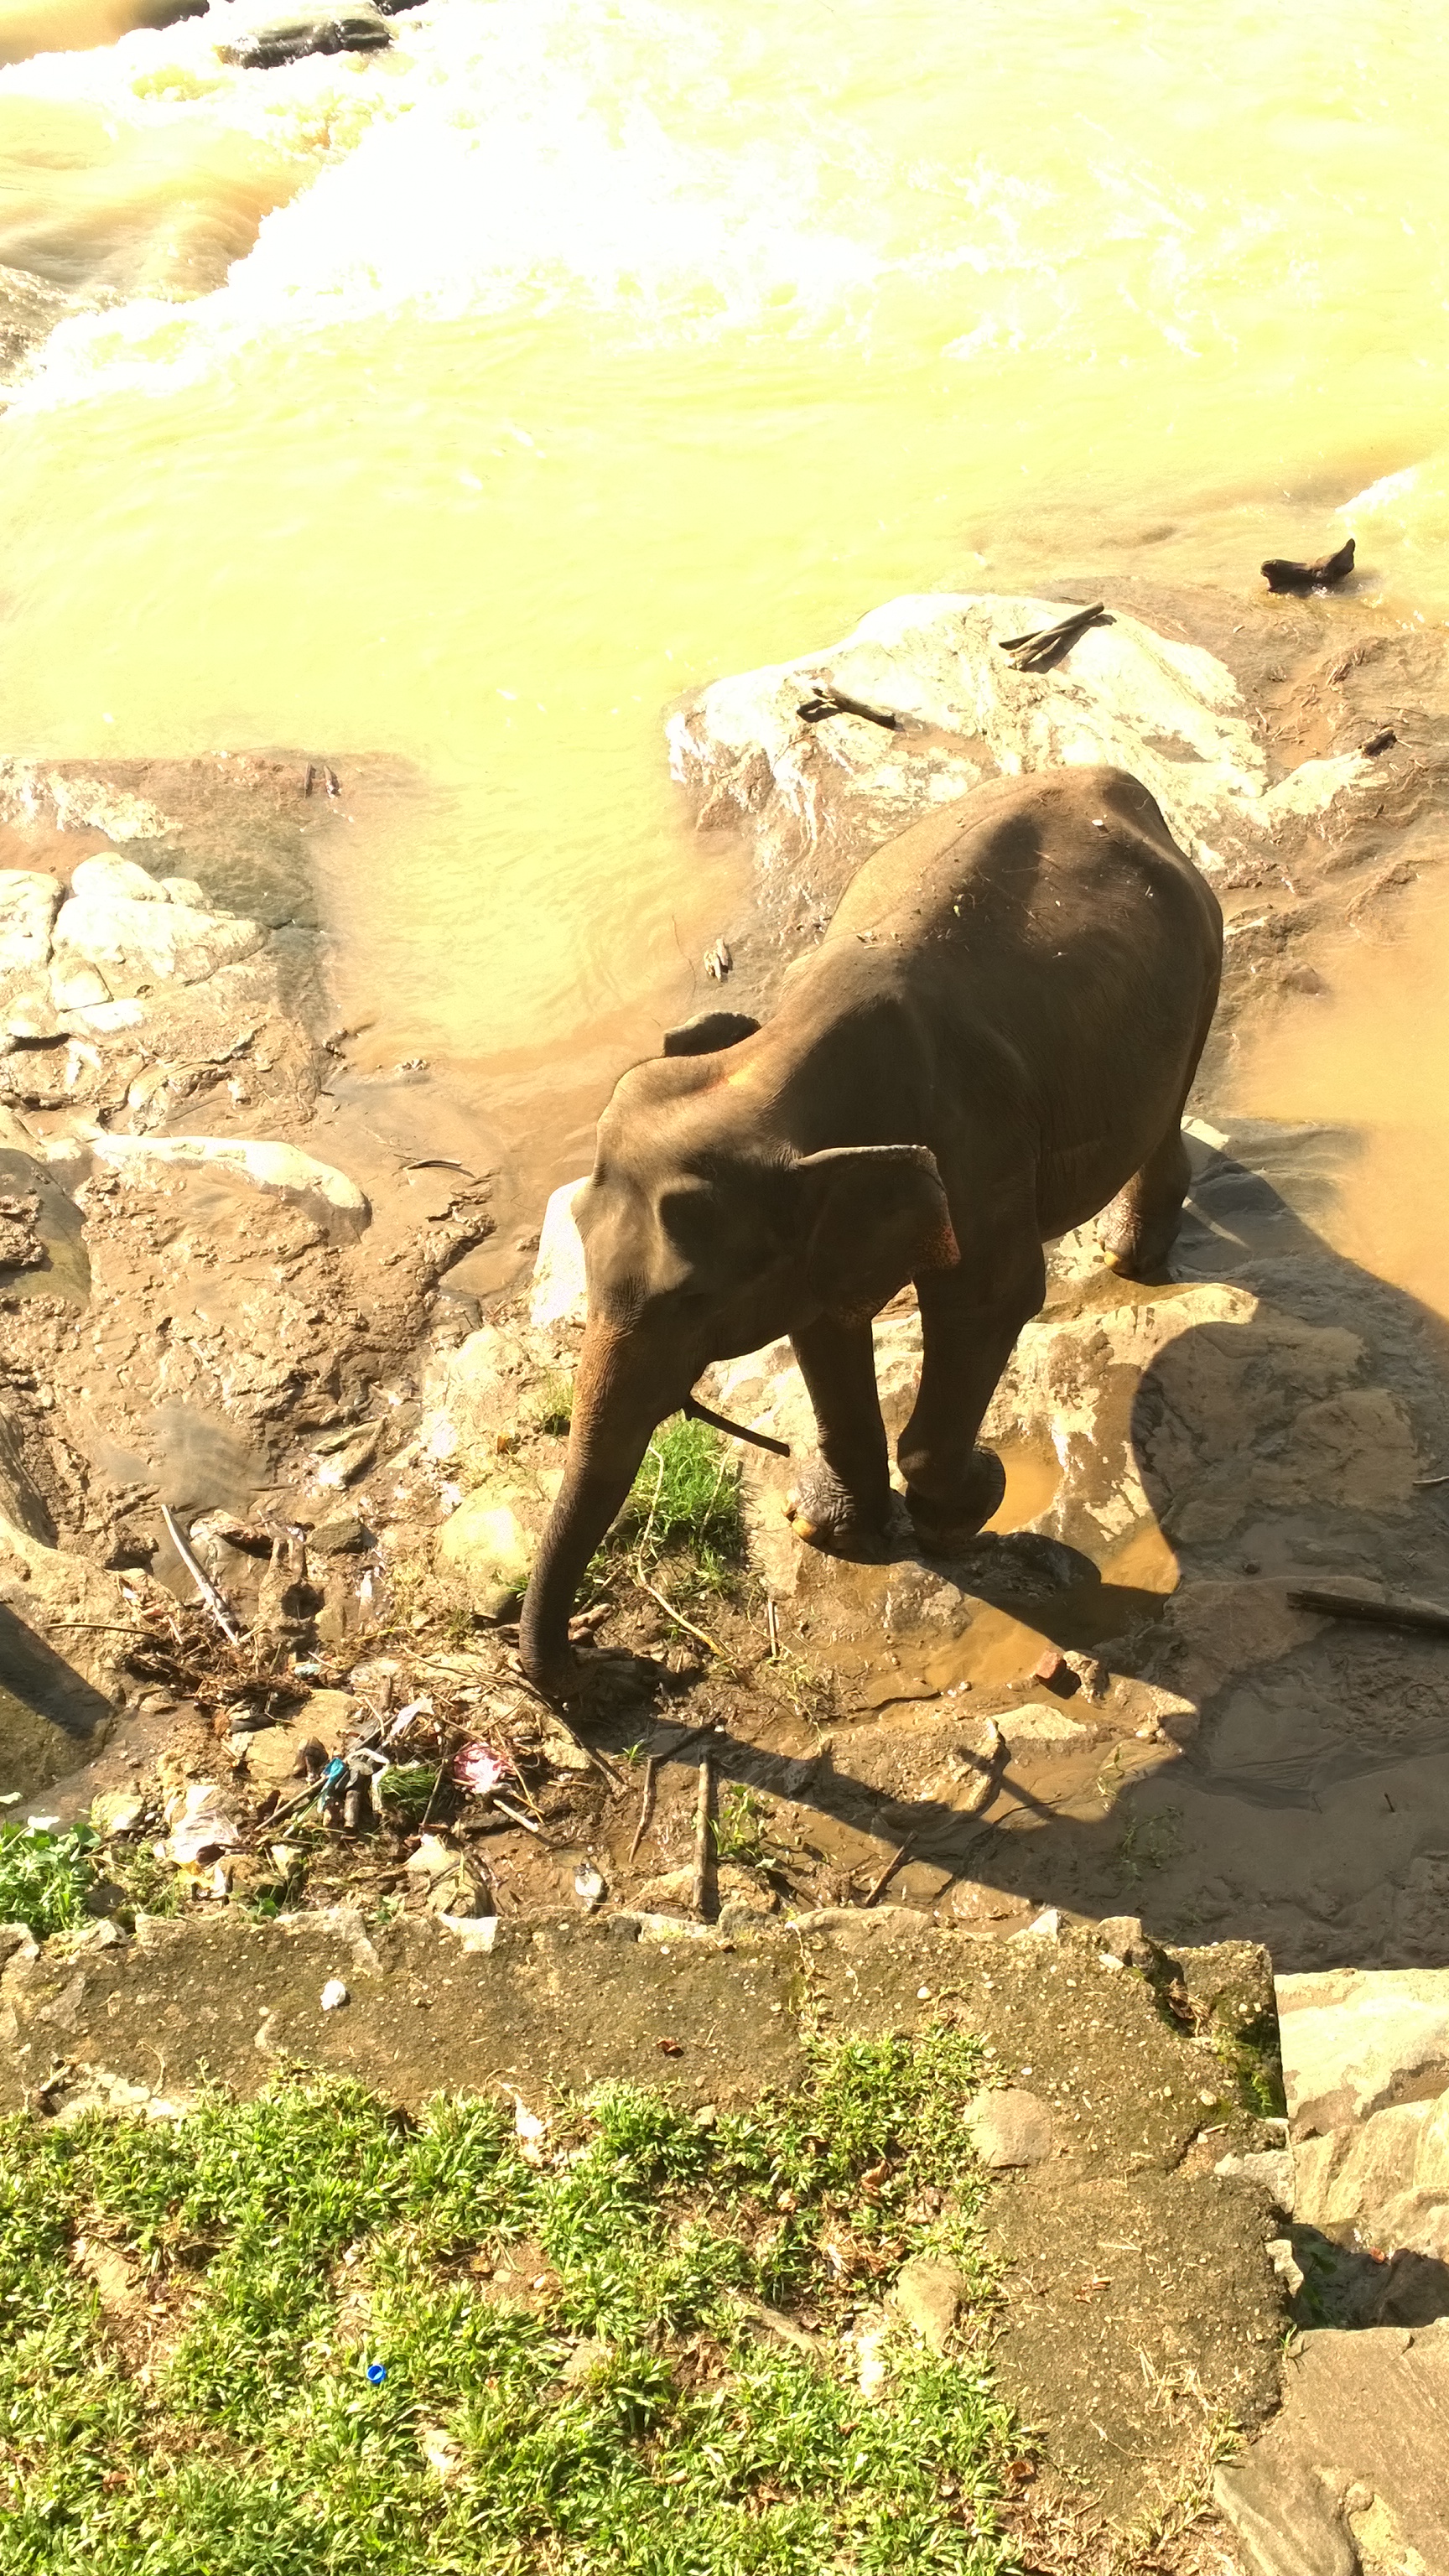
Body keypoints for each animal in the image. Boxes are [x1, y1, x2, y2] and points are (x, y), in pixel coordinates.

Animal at [518, 757, 1217, 1690]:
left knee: (1166, 1114)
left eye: (695, 1303)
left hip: (1205, 961)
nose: (623, 1668)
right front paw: (831, 1526)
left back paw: (1130, 1261)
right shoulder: (814, 1237)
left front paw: (972, 1503)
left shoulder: (979, 1144)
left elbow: (992, 1300)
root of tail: (1108, 779)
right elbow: (823, 1322)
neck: (774, 1067)